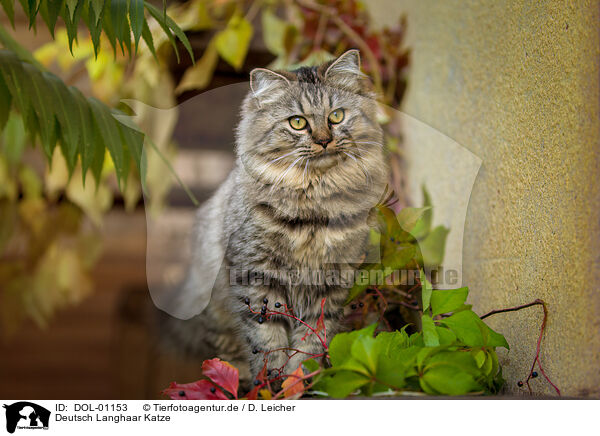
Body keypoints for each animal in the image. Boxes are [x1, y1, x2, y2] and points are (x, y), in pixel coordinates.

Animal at [161, 49, 390, 386]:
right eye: (297, 123)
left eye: (336, 116)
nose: (324, 140)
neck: (314, 208)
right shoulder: (256, 277)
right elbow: (268, 341)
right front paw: (272, 383)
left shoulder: (331, 283)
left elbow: (310, 344)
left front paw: (301, 382)